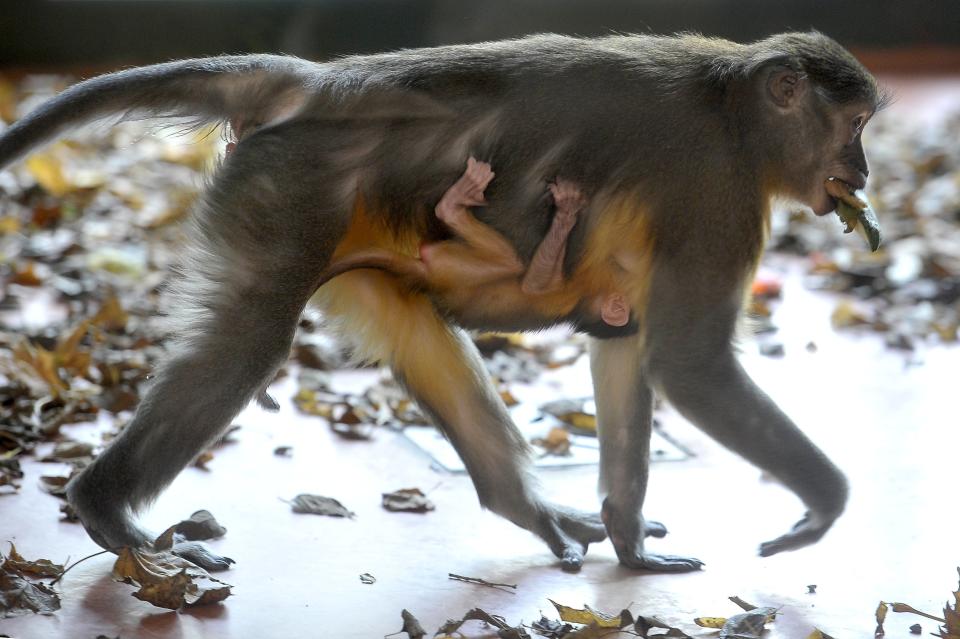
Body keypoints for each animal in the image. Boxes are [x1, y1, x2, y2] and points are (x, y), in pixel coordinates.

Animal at [326, 157, 632, 328]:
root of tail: (427, 278)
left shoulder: (572, 295)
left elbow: (534, 286)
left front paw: (567, 211)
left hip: (457, 269)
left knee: (510, 263)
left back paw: (453, 204)